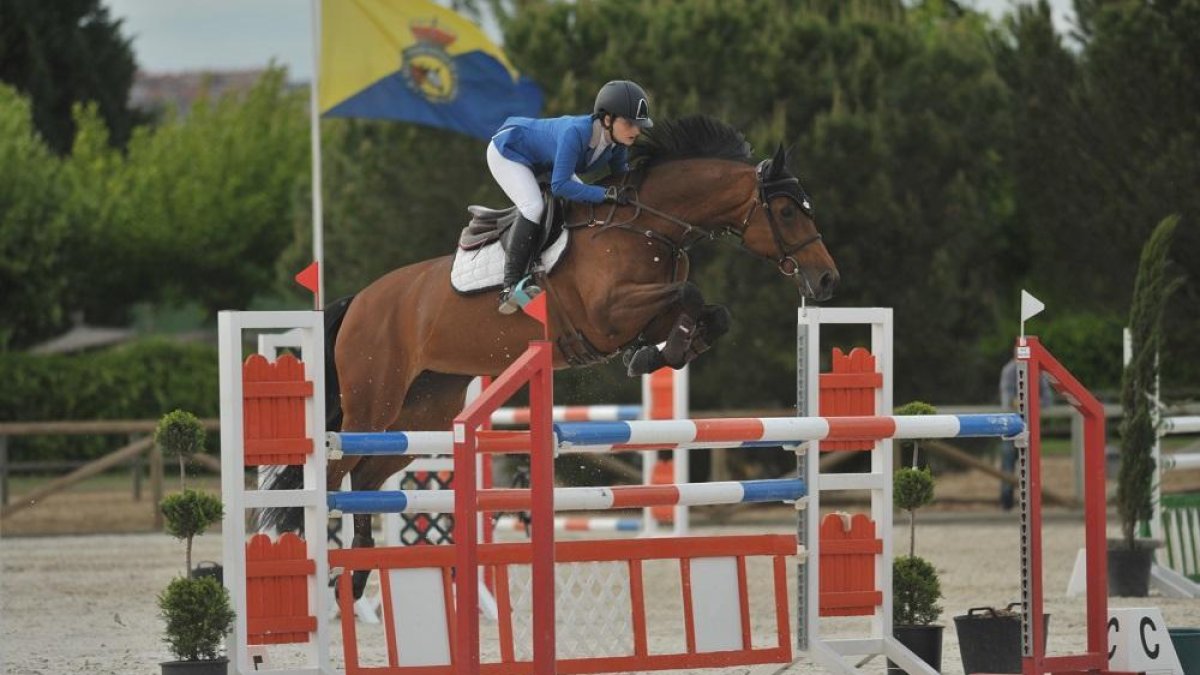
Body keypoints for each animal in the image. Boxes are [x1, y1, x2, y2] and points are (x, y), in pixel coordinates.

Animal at [260, 115, 838, 597]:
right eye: (786, 210)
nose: (828, 280)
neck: (645, 225)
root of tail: (359, 300)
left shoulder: (638, 313)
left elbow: (712, 313)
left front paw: (661, 353)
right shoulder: (608, 315)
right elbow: (691, 295)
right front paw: (658, 354)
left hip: (424, 411)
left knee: (368, 479)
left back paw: (356, 578)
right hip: (372, 404)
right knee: (336, 472)